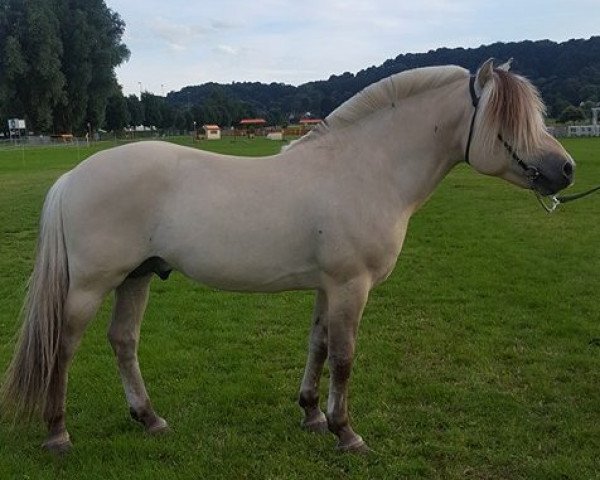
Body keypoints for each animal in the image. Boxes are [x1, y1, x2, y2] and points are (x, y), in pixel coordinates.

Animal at [1, 58, 576, 452]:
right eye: (509, 121)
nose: (566, 170)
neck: (366, 169)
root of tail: (74, 175)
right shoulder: (351, 285)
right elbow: (344, 357)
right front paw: (347, 433)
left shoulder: (329, 286)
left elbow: (318, 346)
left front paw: (312, 416)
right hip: (91, 285)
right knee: (63, 347)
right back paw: (57, 434)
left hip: (137, 277)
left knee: (123, 341)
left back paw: (150, 418)